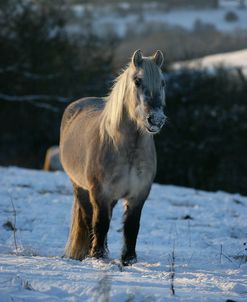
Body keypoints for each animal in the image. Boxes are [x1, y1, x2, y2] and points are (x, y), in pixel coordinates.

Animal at [60, 49, 166, 264]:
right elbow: (100, 224)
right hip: (80, 187)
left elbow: (132, 228)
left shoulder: (138, 195)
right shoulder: (100, 193)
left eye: (163, 82)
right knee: (88, 219)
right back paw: (87, 252)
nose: (156, 119)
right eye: (137, 81)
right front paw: (98, 256)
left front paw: (129, 260)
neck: (128, 151)